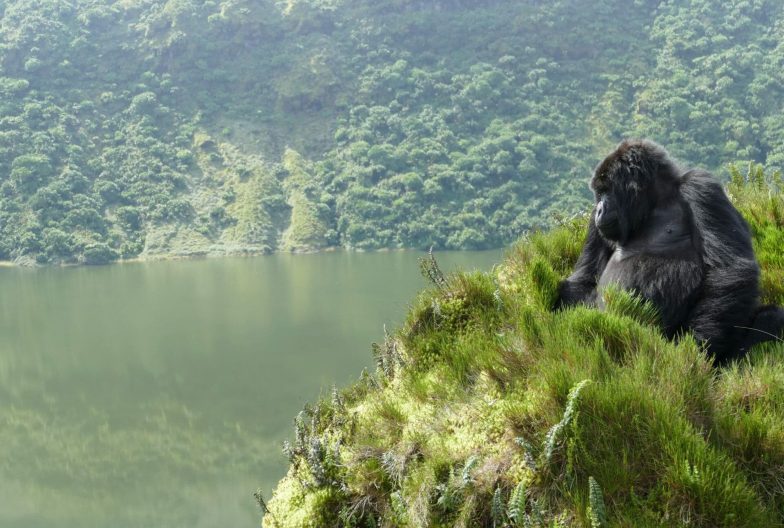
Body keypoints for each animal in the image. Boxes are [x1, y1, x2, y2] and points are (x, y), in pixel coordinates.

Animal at [556, 138, 784, 366]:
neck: (655, 202)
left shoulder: (701, 186)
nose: (600, 209)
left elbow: (730, 268)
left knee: (771, 317)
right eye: (599, 193)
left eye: (607, 190)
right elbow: (584, 280)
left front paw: (695, 349)